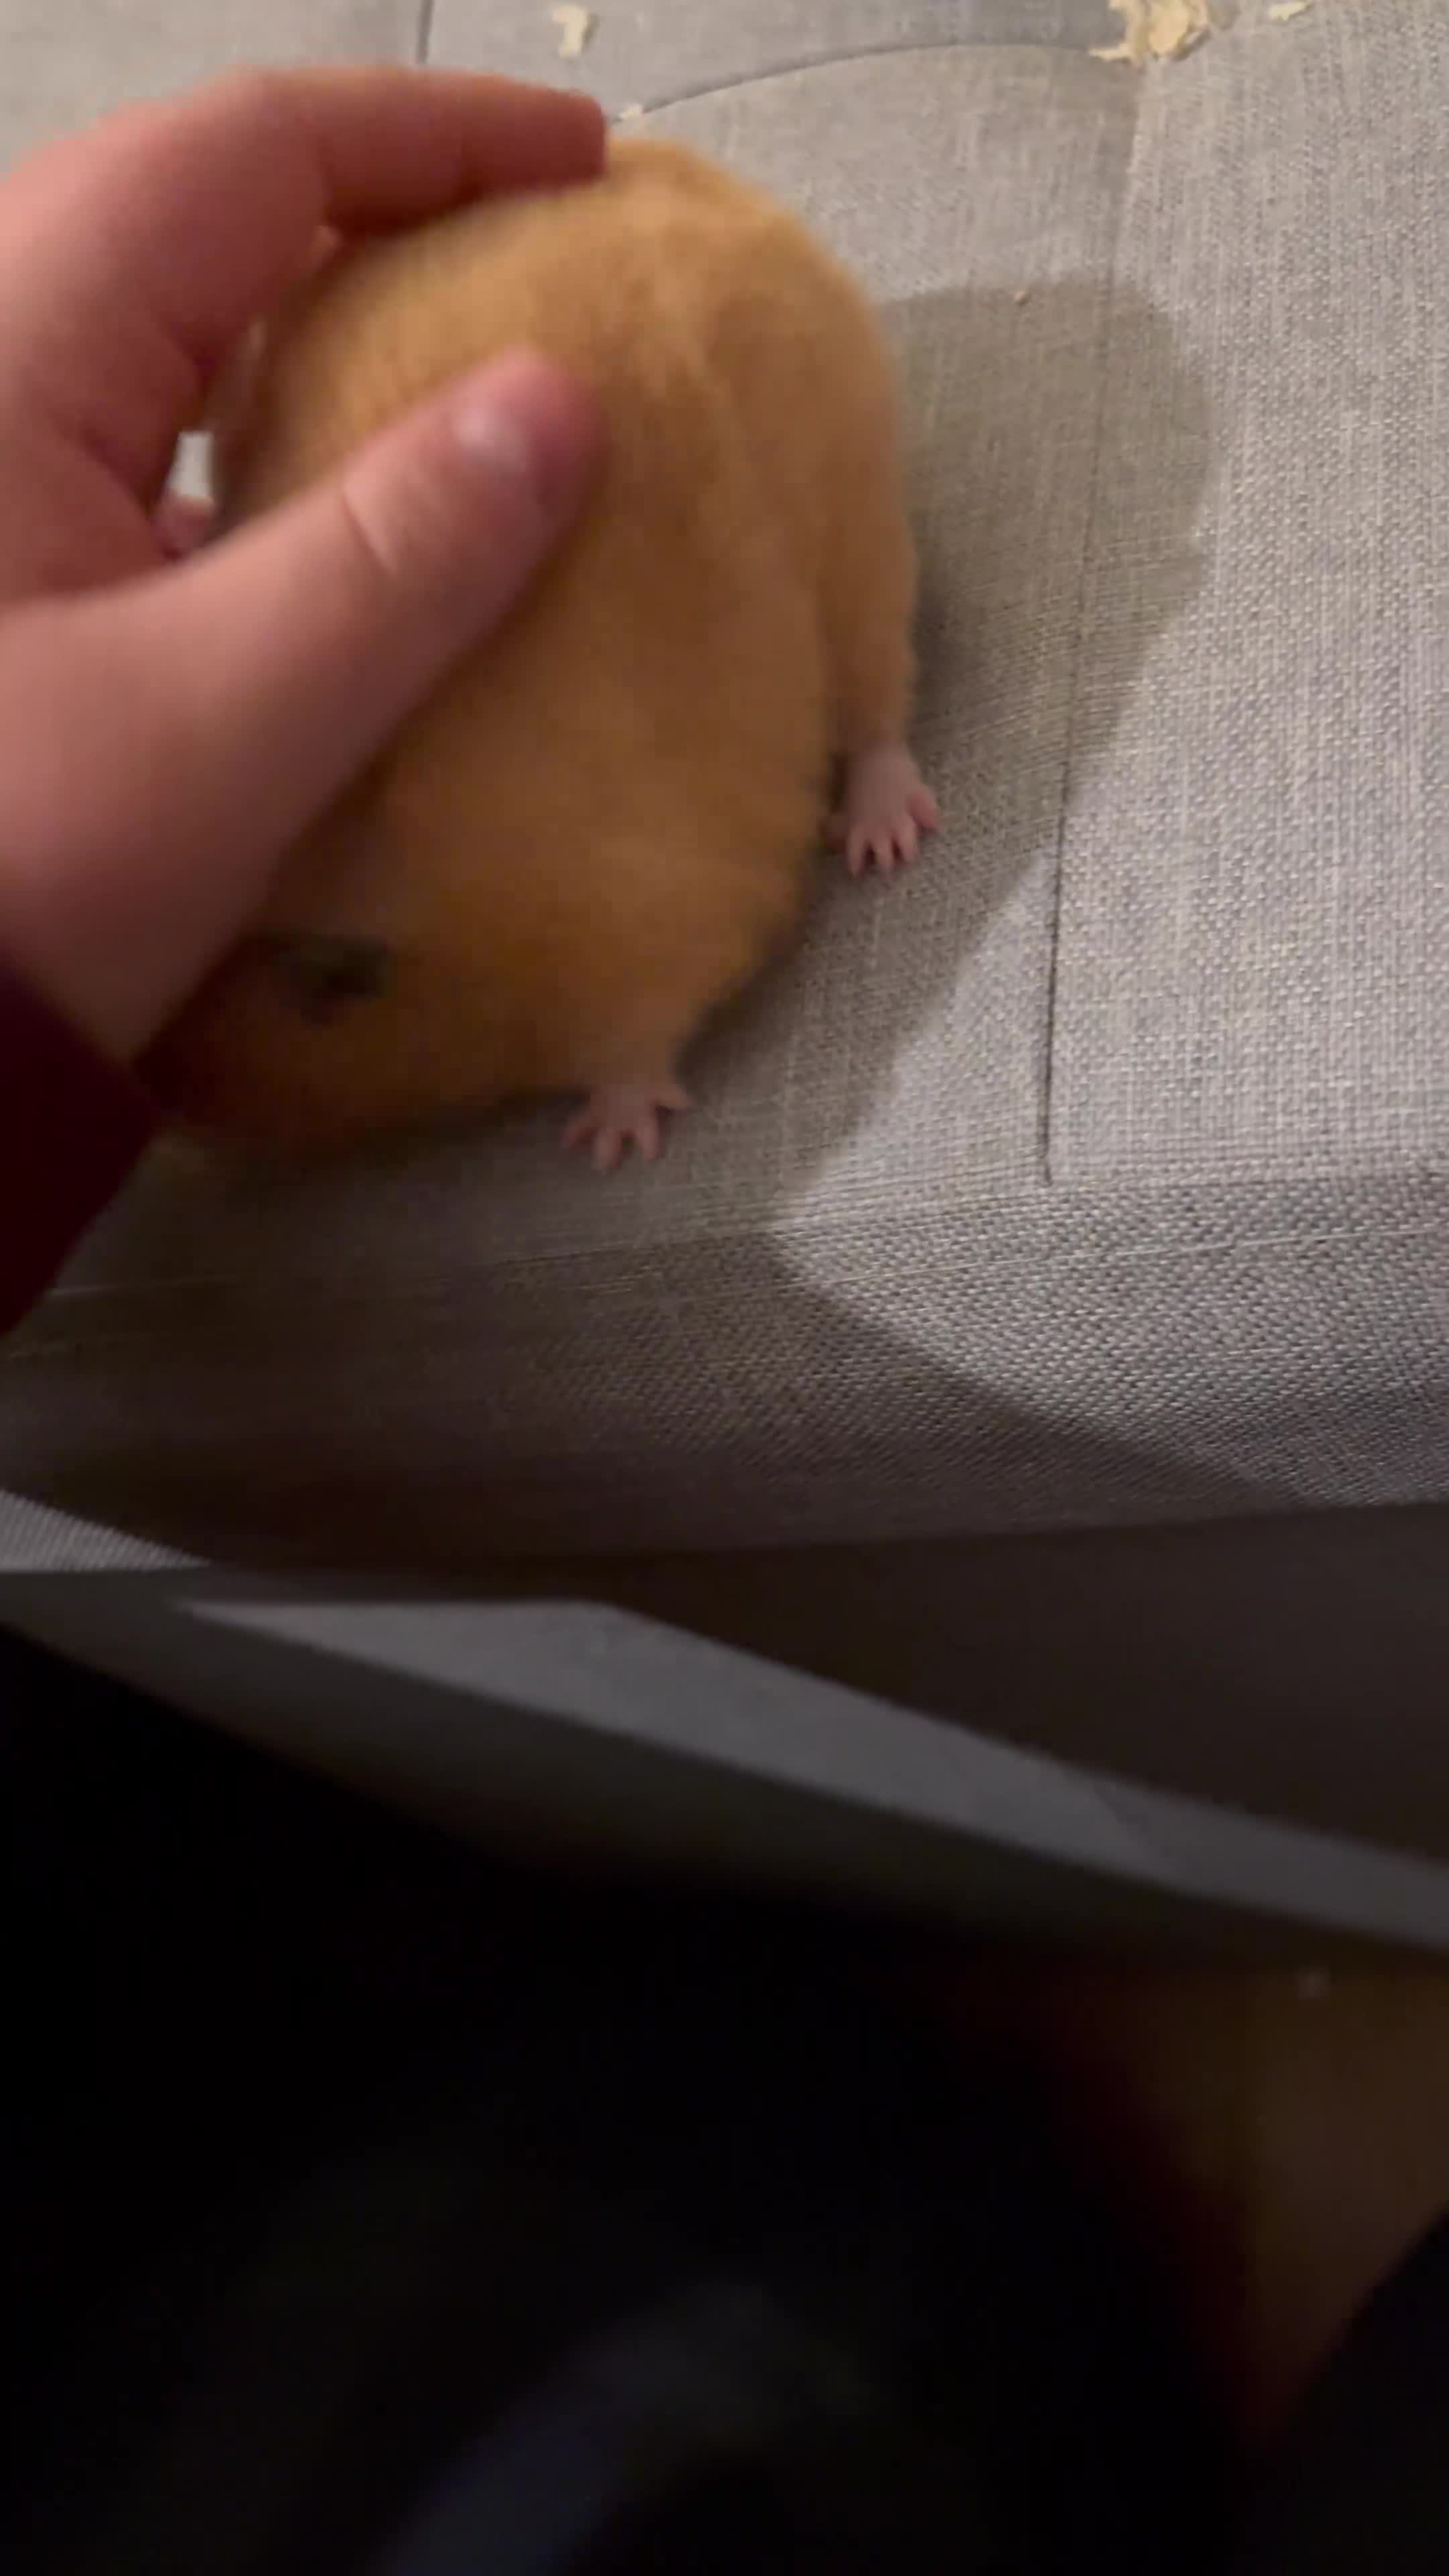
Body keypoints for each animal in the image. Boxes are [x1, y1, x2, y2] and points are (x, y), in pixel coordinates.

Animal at [145, 139, 938, 1168]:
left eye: (317, 999)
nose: (169, 1106)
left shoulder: (656, 924)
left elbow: (636, 1046)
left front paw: (611, 1145)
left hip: (858, 535)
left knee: (880, 710)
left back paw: (883, 839)